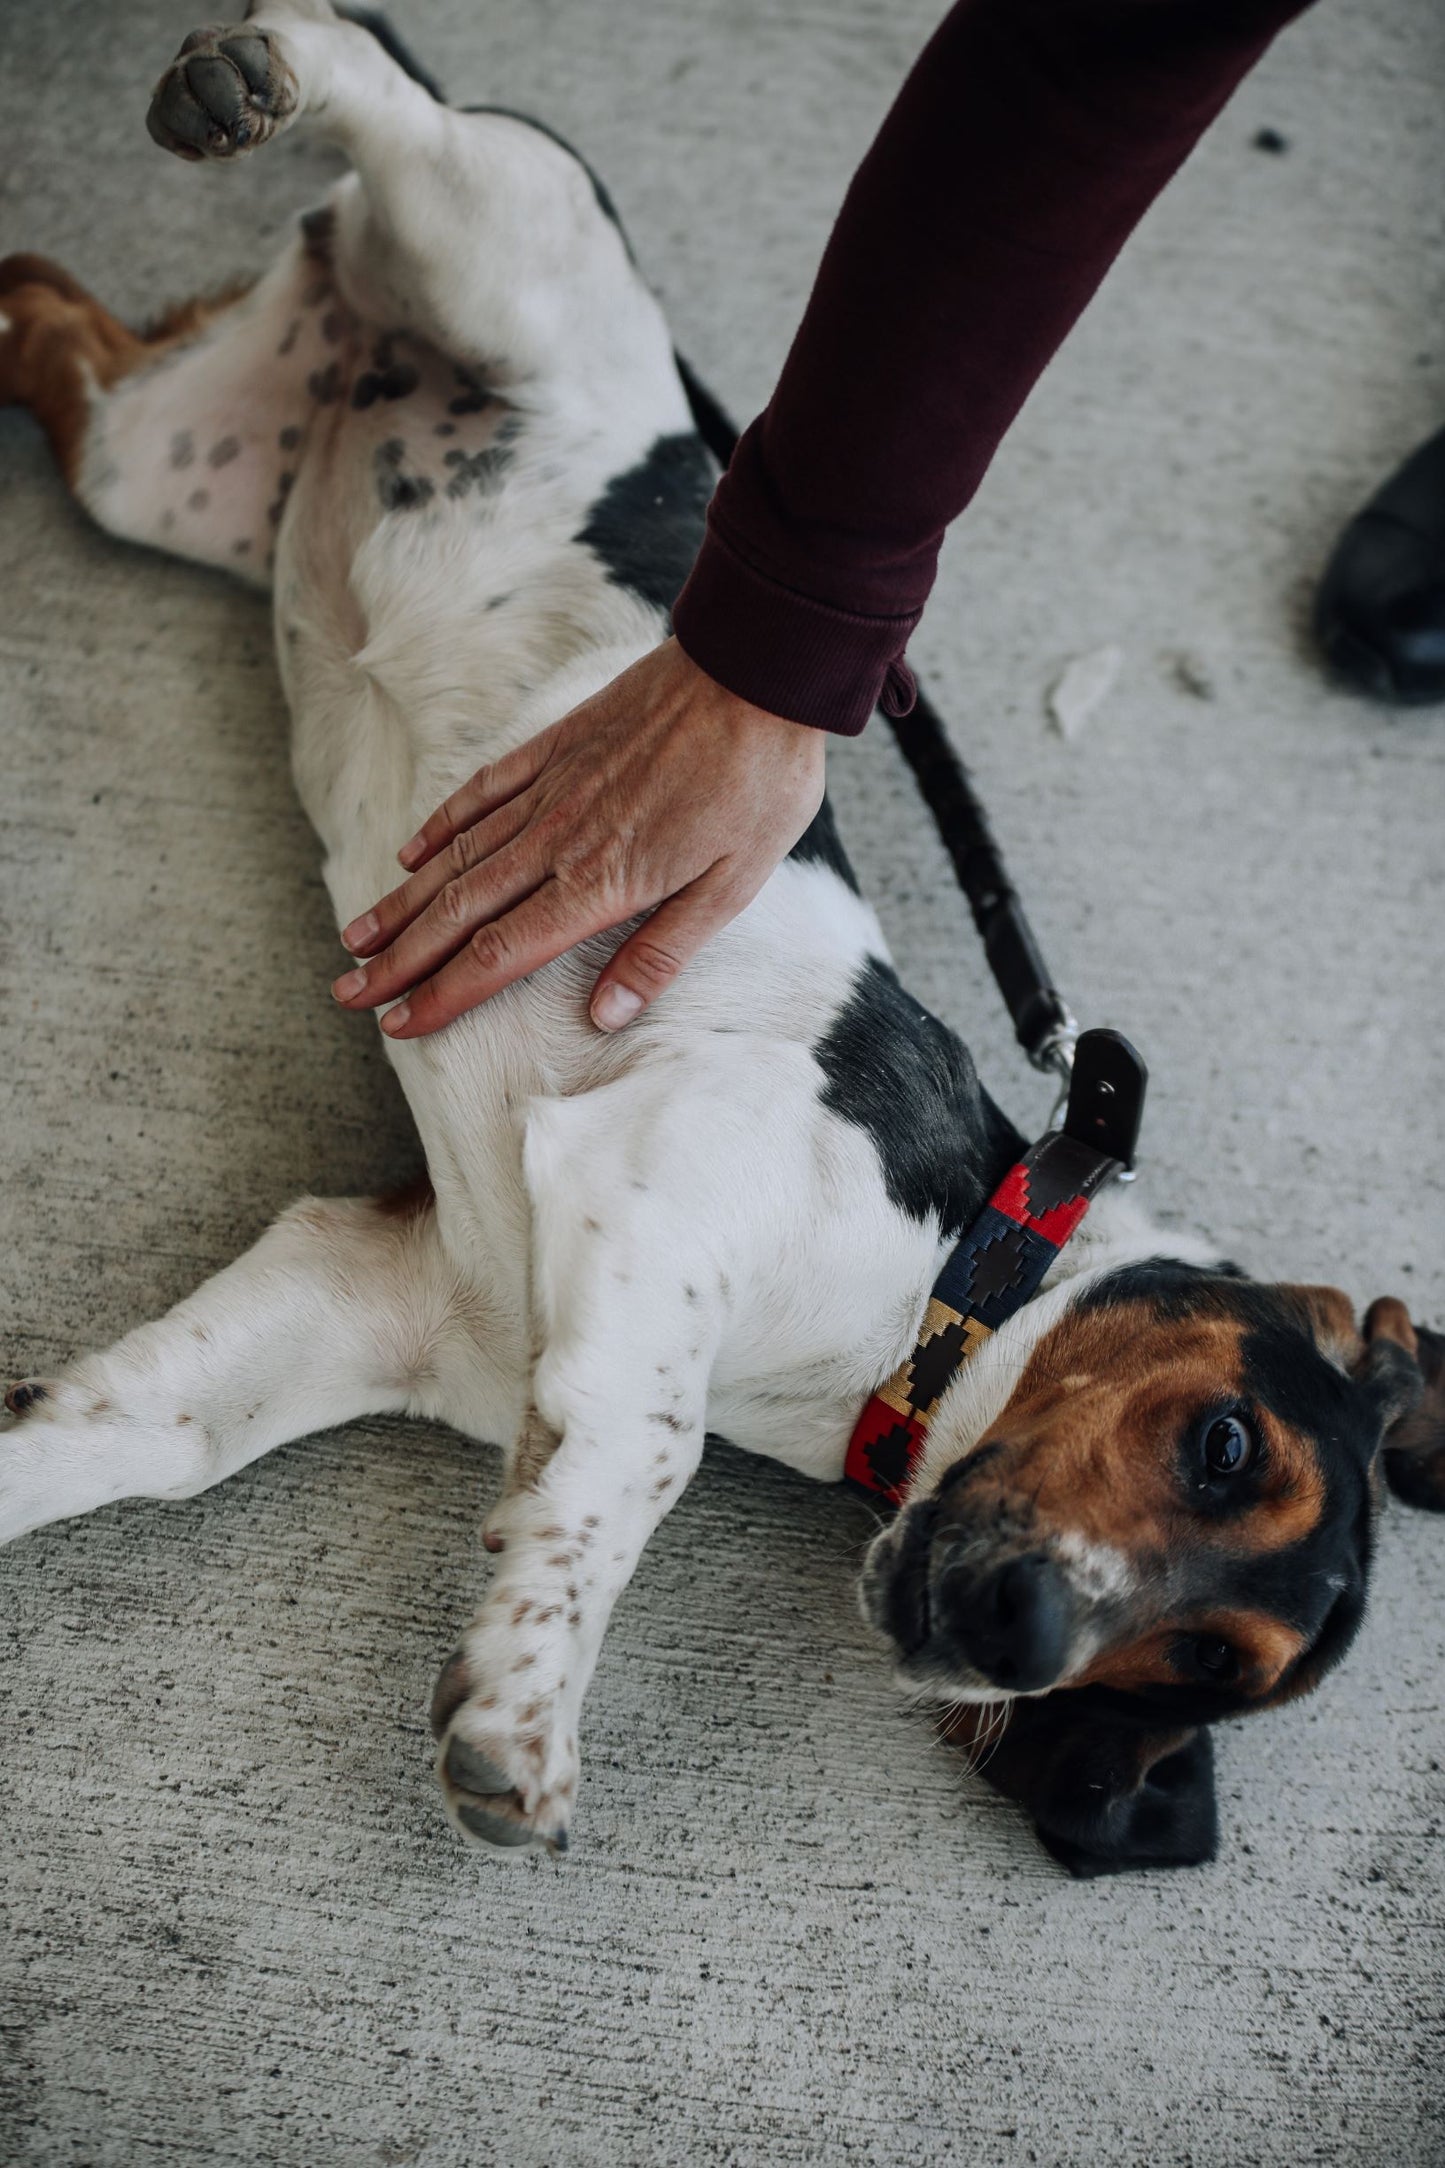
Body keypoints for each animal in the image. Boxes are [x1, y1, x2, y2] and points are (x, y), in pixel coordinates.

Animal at [0, 0, 1438, 1873]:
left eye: (1202, 1662)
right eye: (1219, 1443)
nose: (1022, 1636)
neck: (930, 1289)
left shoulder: (377, 1291)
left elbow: (125, 1436)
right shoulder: (650, 1187)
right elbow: (643, 1461)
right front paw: (526, 1706)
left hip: (150, 457)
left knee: (41, 312)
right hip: (506, 242)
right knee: (405, 111)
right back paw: (270, 73)